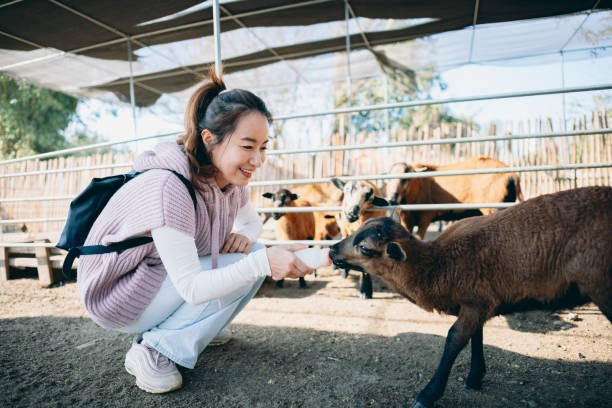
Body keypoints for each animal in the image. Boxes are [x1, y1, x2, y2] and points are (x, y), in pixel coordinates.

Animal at [330, 186, 612, 408]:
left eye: (365, 248)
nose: (332, 250)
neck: (435, 265)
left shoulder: (477, 302)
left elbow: (454, 340)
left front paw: (427, 395)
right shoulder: (478, 302)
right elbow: (476, 337)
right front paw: (475, 378)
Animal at [388, 155, 520, 239]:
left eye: (405, 179)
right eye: (388, 179)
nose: (392, 198)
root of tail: (512, 175)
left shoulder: (426, 216)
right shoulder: (407, 220)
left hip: (492, 209)